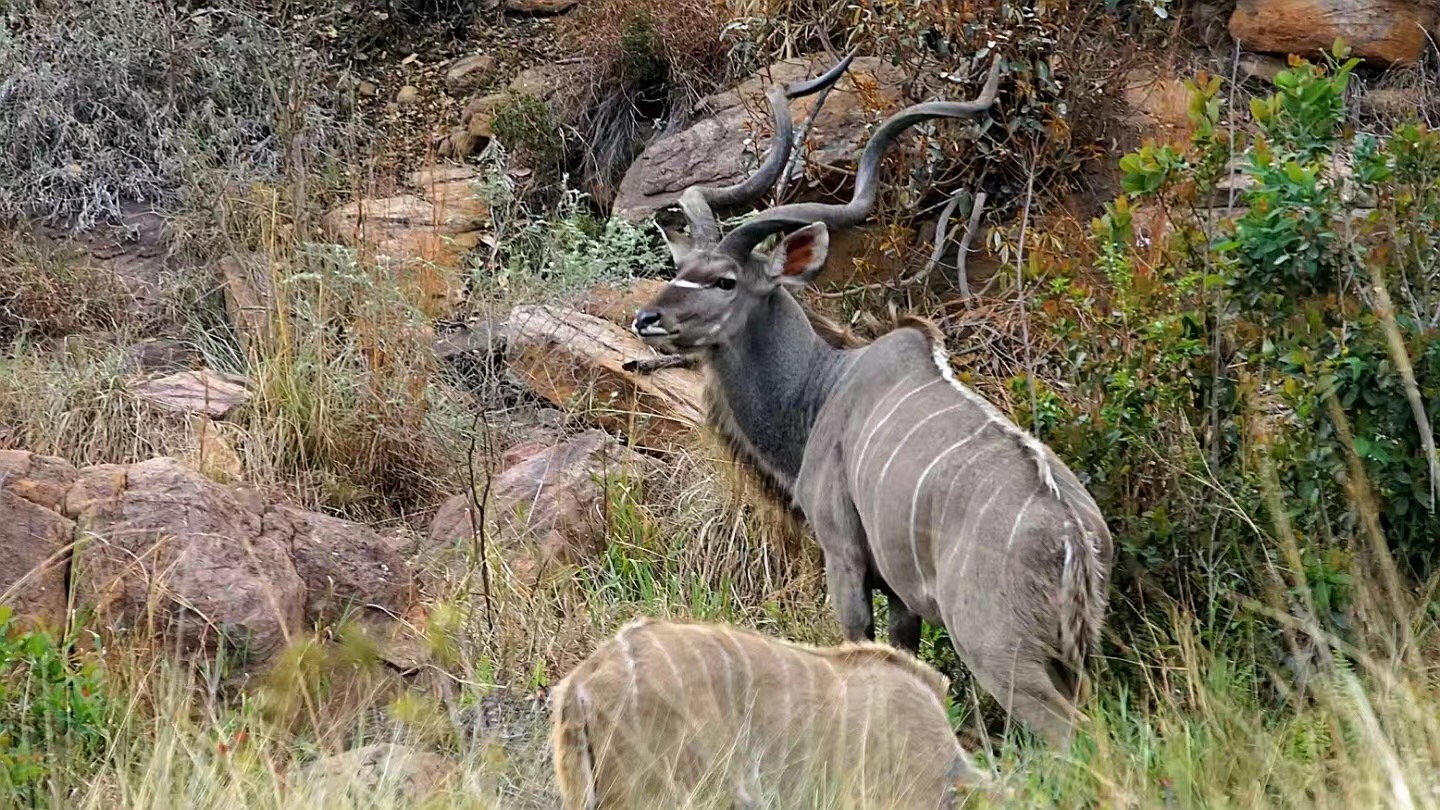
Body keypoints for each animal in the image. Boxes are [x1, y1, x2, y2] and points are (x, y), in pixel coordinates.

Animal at [627, 53, 1111, 743]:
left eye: (724, 281)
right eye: (679, 269)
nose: (647, 319)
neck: (824, 387)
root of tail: (1074, 538)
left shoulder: (844, 557)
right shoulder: (904, 596)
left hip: (1000, 652)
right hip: (1075, 657)